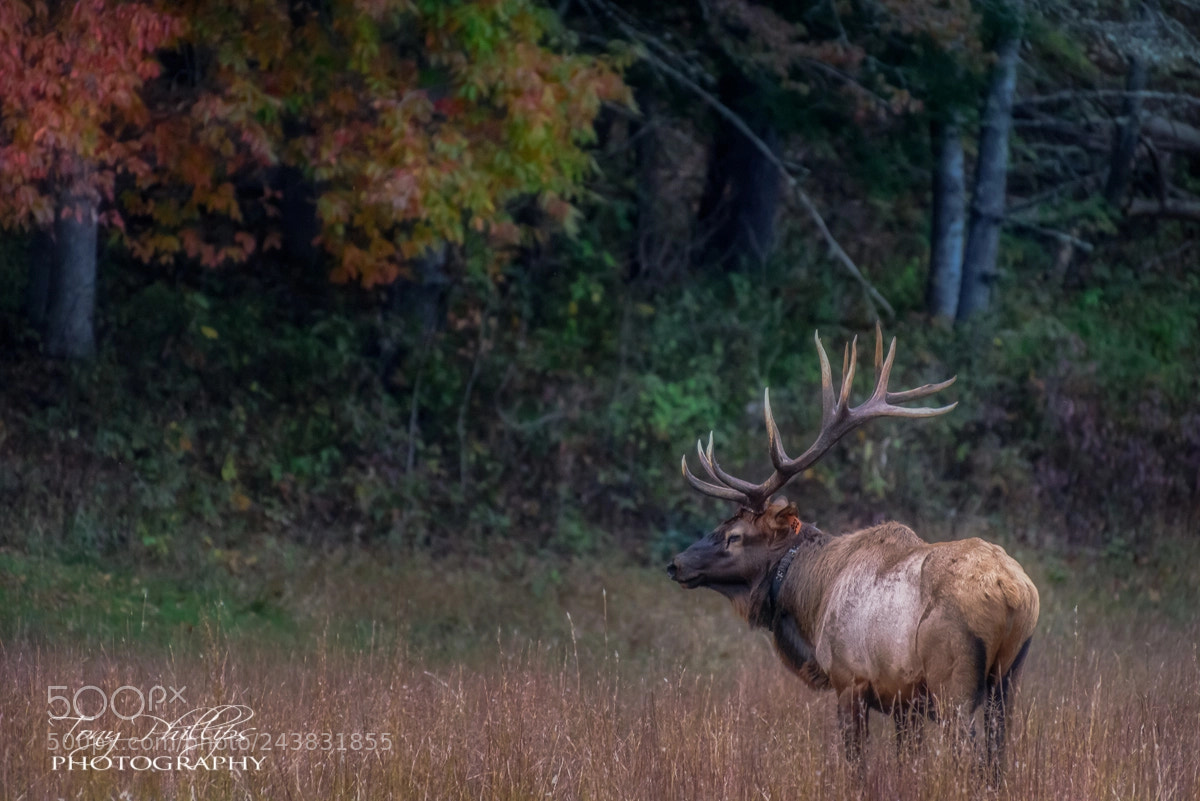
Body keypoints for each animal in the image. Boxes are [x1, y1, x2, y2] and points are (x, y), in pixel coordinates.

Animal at [666, 324, 1039, 782]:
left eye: (734, 535)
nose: (676, 563)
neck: (812, 602)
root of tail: (1013, 593)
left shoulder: (850, 679)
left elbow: (855, 766)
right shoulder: (905, 701)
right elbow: (906, 762)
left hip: (954, 677)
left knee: (969, 751)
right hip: (1008, 678)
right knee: (997, 752)